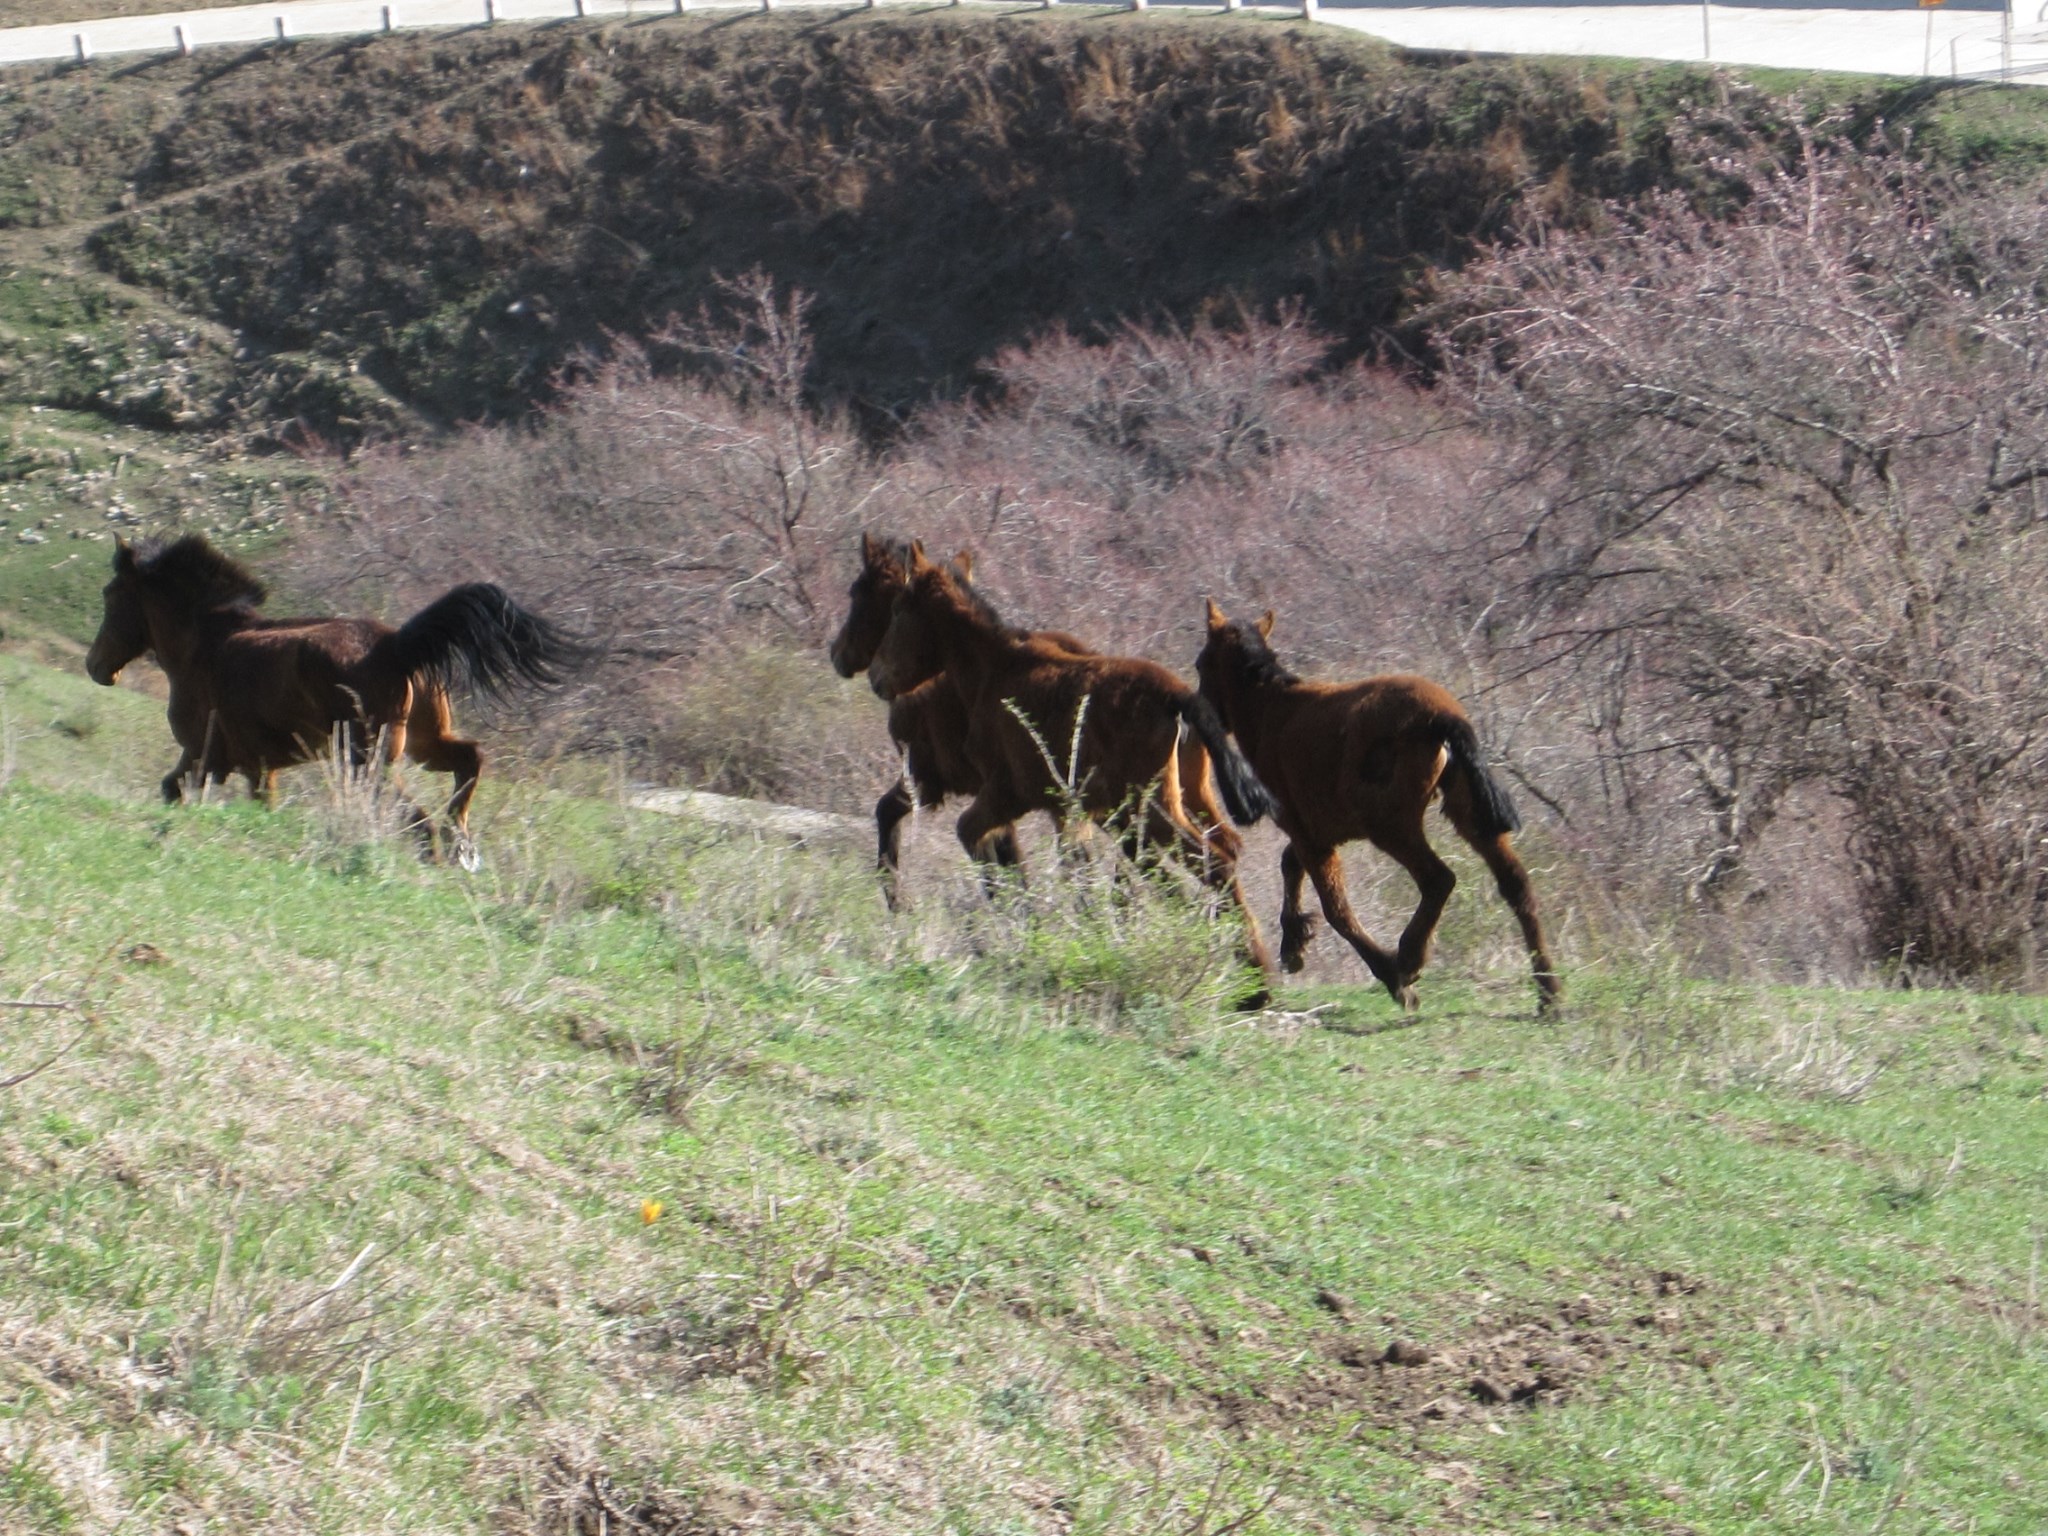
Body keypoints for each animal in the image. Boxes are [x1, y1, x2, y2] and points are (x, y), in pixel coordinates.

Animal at [86, 536, 585, 860]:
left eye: (111, 594)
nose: (96, 666)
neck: (203, 644)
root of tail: (396, 645)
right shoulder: (233, 764)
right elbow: (177, 790)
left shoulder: (218, 758)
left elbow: (184, 791)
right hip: (422, 744)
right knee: (469, 761)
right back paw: (463, 841)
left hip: (369, 761)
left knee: (421, 820)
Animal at [1196, 606, 1556, 1024]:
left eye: (1201, 663)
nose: (1203, 713)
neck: (1274, 709)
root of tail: (1441, 716)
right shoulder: (1318, 831)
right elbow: (1290, 864)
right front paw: (1294, 943)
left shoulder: (1311, 835)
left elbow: (1336, 909)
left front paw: (1393, 979)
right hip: (1466, 810)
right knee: (1515, 884)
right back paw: (1549, 993)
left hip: (1390, 825)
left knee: (1438, 879)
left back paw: (1409, 959)